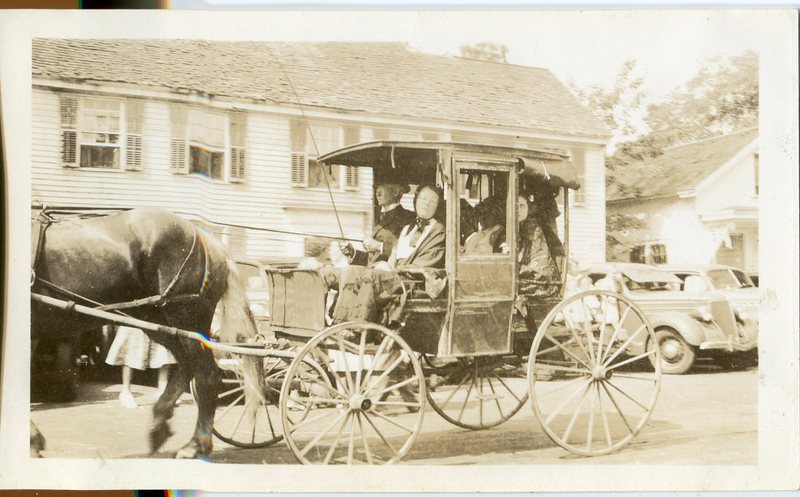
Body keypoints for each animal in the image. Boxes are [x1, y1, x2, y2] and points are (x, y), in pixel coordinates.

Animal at [32, 206, 260, 458]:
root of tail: (206, 238)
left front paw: (34, 440)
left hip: (186, 318)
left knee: (207, 376)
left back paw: (196, 444)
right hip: (159, 322)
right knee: (187, 366)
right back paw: (160, 424)